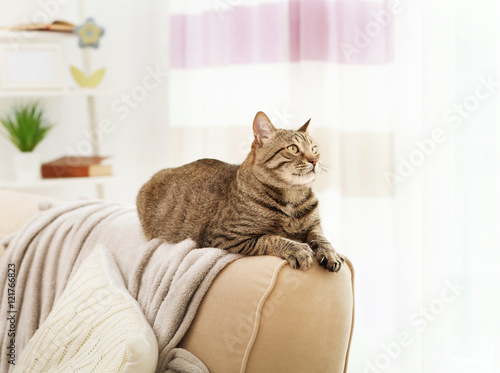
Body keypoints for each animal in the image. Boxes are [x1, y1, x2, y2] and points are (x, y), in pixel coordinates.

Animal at [139, 110, 346, 270]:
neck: (292, 198)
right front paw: (297, 248)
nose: (315, 160)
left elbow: (321, 238)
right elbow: (270, 238)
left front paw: (330, 253)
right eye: (293, 148)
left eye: (314, 148)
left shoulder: (315, 226)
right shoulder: (225, 237)